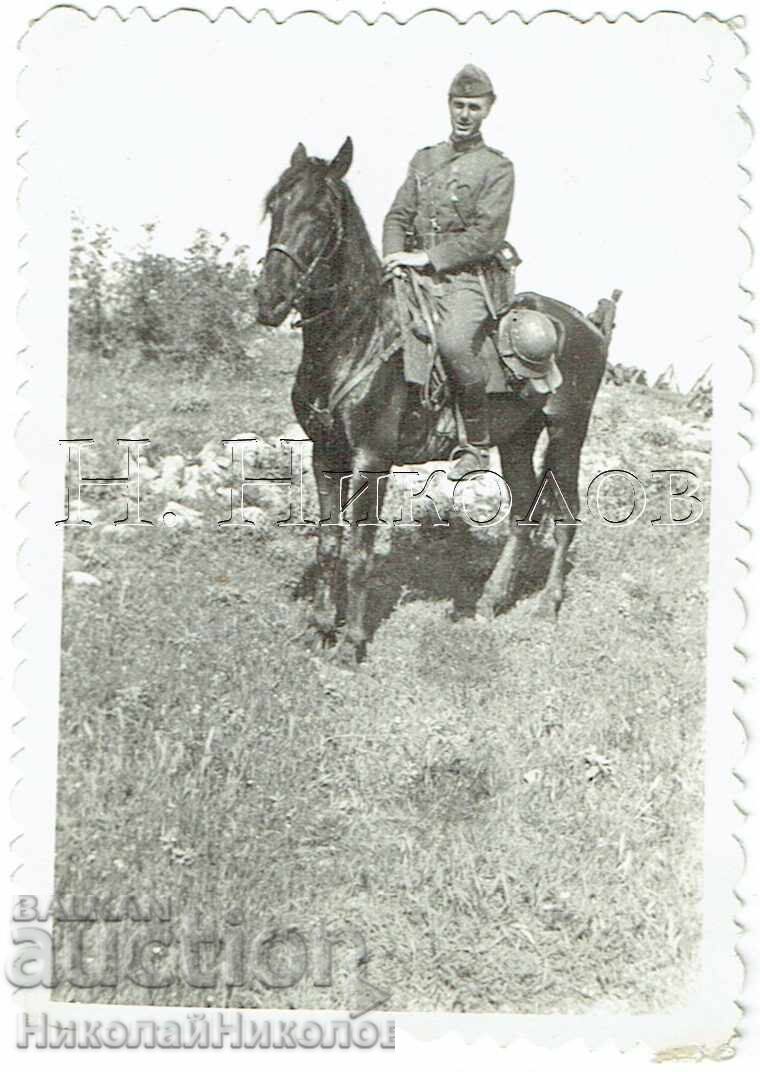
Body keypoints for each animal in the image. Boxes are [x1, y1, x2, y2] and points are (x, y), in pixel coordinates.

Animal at [257, 137, 610, 662]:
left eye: (321, 215)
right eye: (275, 207)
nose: (268, 299)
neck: (359, 335)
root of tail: (588, 323)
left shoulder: (372, 461)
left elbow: (359, 553)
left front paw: (352, 643)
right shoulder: (326, 455)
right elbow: (328, 543)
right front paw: (321, 627)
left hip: (568, 432)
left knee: (565, 515)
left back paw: (547, 606)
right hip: (517, 439)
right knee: (524, 513)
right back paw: (489, 601)